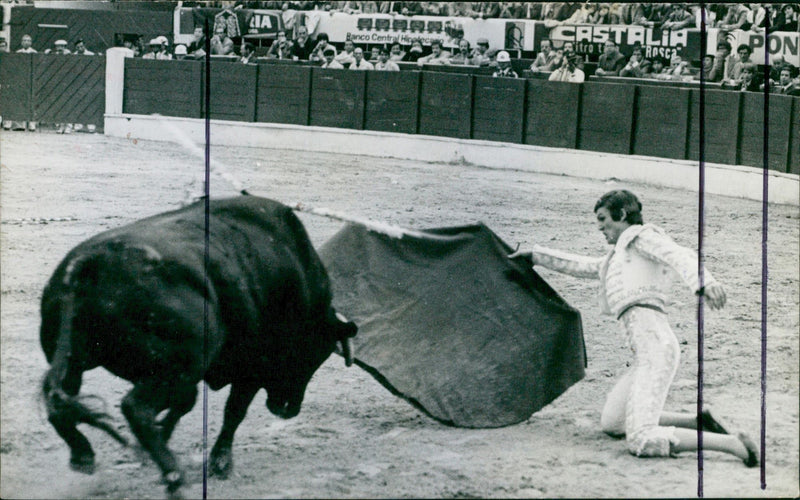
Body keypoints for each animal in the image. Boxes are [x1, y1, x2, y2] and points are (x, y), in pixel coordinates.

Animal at [39, 195, 358, 492]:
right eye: (315, 354)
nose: (289, 410)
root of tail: (89, 264)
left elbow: (187, 403)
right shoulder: (249, 369)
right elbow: (234, 412)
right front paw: (220, 463)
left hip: (75, 364)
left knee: (56, 400)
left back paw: (83, 456)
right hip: (176, 367)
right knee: (135, 407)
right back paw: (172, 475)